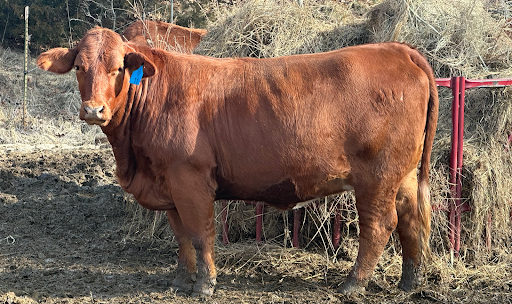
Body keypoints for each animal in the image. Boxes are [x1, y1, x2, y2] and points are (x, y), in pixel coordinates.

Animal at [38, 27, 440, 296]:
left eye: (119, 68)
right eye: (79, 67)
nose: (93, 110)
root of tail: (397, 49)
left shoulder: (190, 179)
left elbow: (200, 234)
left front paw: (205, 285)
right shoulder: (168, 185)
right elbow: (181, 235)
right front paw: (181, 280)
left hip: (377, 177)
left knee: (380, 225)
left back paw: (353, 284)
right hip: (403, 175)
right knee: (412, 219)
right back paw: (409, 282)